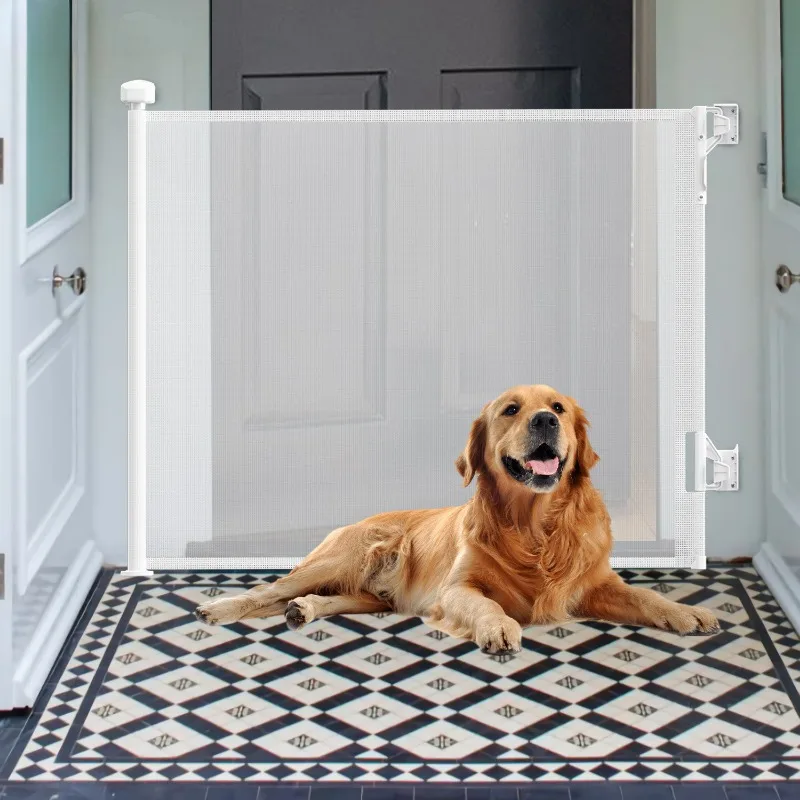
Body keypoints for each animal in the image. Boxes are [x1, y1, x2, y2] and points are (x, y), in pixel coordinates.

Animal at [195, 384, 720, 652]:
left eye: (558, 408)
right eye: (511, 409)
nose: (545, 421)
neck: (535, 529)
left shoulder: (594, 583)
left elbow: (647, 596)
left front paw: (687, 612)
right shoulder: (456, 589)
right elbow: (486, 605)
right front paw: (497, 628)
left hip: (370, 596)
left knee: (321, 598)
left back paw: (304, 610)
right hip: (344, 558)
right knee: (271, 589)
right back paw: (218, 608)